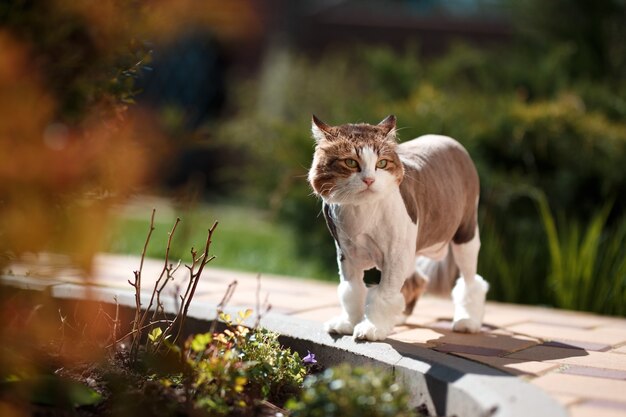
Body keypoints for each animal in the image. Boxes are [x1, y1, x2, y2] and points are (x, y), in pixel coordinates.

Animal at [308, 114, 488, 342]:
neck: (361, 211)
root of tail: (451, 141)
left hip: (466, 233)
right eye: (350, 162)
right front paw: (348, 323)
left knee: (470, 281)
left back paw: (467, 322)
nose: (369, 179)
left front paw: (372, 328)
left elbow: (384, 293)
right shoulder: (346, 252)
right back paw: (400, 315)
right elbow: (351, 290)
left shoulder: (396, 252)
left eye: (382, 163)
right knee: (417, 280)